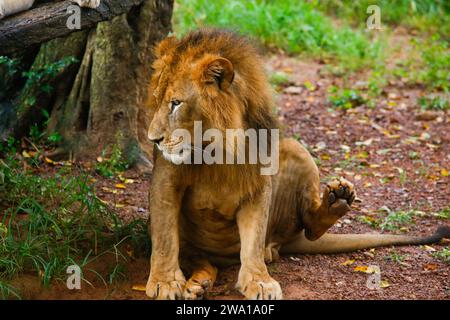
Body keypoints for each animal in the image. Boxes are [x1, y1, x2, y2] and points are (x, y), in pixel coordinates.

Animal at [146, 28, 450, 300]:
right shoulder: (166, 177)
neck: (216, 147)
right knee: (199, 259)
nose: (153, 140)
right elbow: (164, 238)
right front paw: (165, 282)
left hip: (294, 148)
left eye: (176, 103)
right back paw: (198, 285)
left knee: (307, 229)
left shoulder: (258, 182)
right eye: (157, 102)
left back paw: (338, 199)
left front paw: (259, 281)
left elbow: (253, 242)